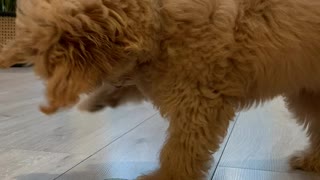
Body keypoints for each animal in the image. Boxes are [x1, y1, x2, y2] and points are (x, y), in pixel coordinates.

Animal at [0, 0, 320, 180]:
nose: (52, 102)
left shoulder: (197, 99)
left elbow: (181, 146)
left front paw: (167, 176)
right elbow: (128, 82)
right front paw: (97, 100)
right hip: (309, 92)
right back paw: (312, 160)